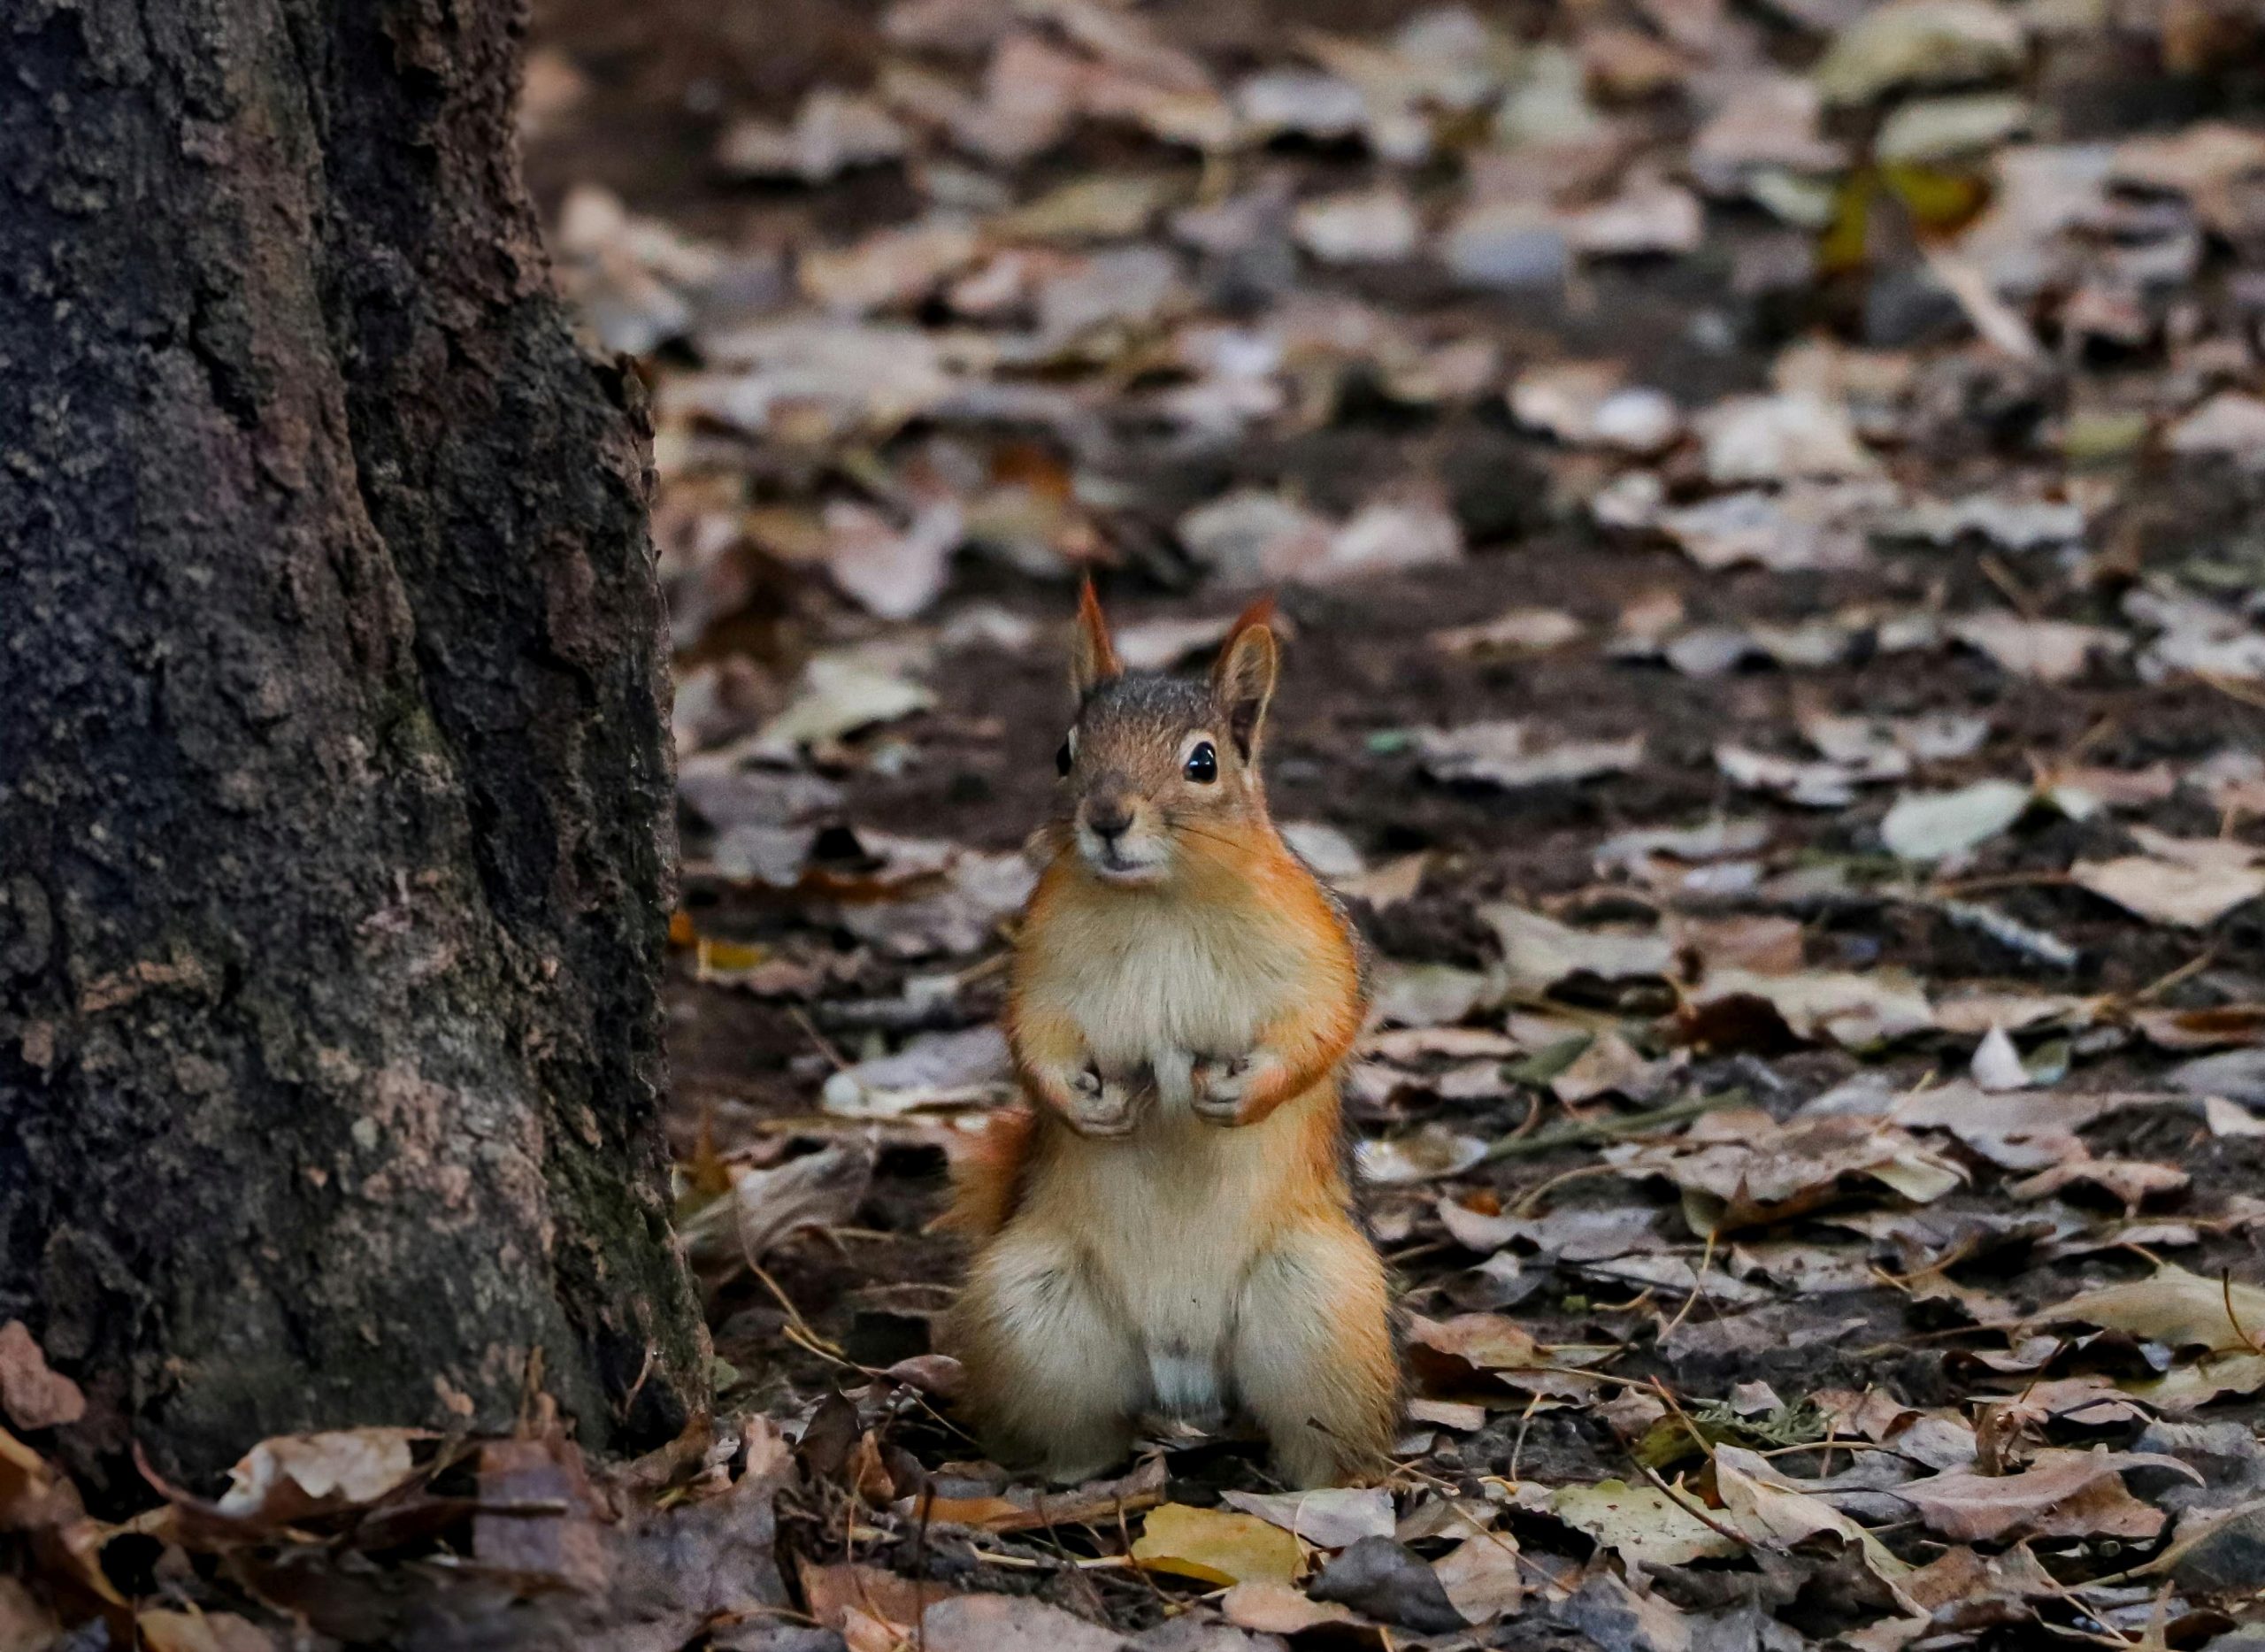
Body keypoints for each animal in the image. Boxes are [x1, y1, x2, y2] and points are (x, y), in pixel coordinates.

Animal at [937, 584, 1394, 1495]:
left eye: (1203, 762)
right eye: (1064, 751)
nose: (1108, 817)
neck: (1160, 903)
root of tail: (1184, 1372)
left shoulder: (1323, 951)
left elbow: (1324, 1024)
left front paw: (1242, 1093)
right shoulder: (1041, 971)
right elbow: (1031, 1040)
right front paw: (1085, 1110)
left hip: (1323, 1302)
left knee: (1320, 1434)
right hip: (1033, 1305)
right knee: (1075, 1428)